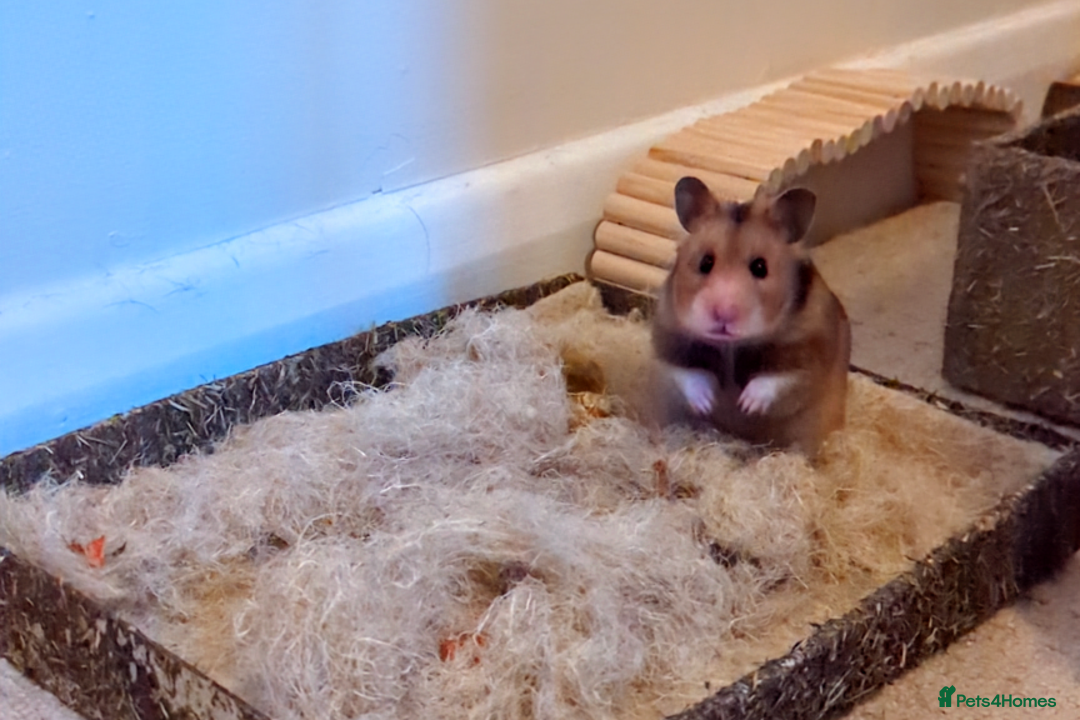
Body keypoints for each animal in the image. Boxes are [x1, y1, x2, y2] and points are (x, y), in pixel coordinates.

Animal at [651, 176, 851, 457]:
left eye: (760, 267)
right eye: (705, 263)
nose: (723, 314)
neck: (731, 346)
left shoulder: (809, 356)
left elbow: (776, 379)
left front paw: (745, 405)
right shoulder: (669, 340)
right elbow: (688, 373)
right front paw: (708, 403)